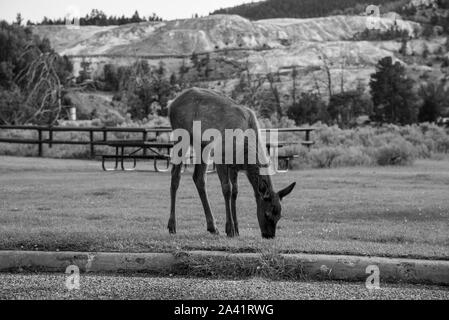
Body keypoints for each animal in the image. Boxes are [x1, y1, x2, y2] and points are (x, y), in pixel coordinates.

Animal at [166, 87, 296, 238]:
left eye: (280, 215)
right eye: (267, 214)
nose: (269, 236)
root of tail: (171, 104)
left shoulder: (235, 167)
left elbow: (235, 192)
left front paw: (237, 228)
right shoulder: (220, 156)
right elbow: (227, 189)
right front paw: (230, 229)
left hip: (203, 145)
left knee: (198, 177)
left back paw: (212, 227)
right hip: (182, 135)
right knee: (175, 175)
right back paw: (172, 225)